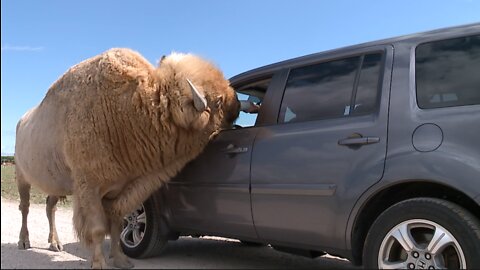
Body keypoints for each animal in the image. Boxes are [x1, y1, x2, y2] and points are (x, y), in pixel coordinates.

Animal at [15, 48, 240, 268]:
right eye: (218, 101)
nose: (238, 102)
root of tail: (22, 121)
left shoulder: (120, 190)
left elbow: (116, 225)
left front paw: (122, 260)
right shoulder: (89, 189)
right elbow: (98, 228)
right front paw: (100, 264)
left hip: (55, 184)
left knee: (49, 207)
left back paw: (55, 243)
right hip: (22, 177)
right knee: (25, 207)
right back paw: (24, 242)